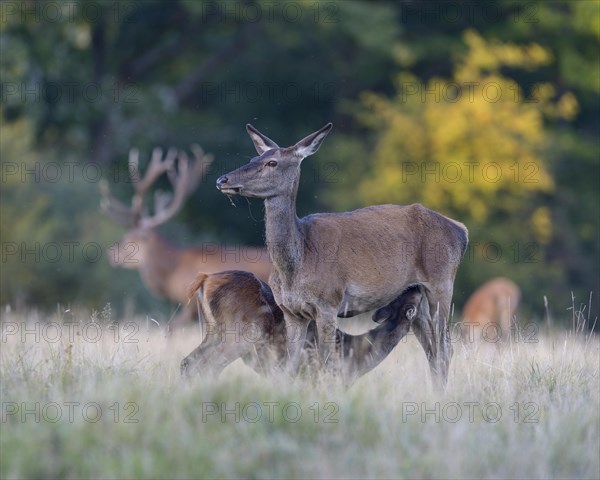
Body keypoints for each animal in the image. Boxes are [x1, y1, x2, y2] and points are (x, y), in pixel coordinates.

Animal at [180, 268, 424, 388]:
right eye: (411, 297)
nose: (418, 285)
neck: (354, 358)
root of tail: (205, 278)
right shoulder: (321, 380)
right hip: (240, 334)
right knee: (205, 366)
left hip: (212, 331)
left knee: (189, 362)